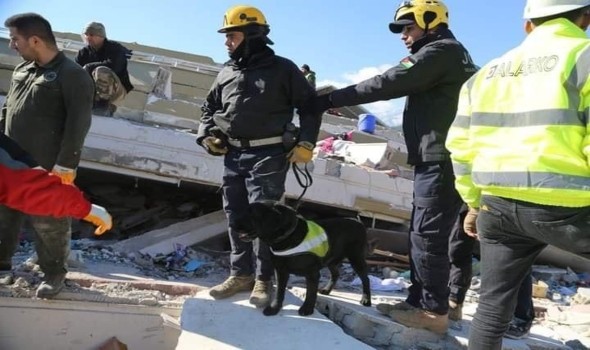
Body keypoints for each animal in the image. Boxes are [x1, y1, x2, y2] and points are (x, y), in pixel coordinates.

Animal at [235, 200, 370, 318]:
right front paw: (274, 308)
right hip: (331, 259)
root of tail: (358, 222)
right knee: (336, 274)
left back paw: (366, 299)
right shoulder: (280, 271)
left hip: (356, 257)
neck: (288, 237)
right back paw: (327, 290)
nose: (232, 221)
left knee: (365, 278)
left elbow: (310, 293)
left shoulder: (312, 273)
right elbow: (279, 292)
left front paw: (307, 309)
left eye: (251, 213)